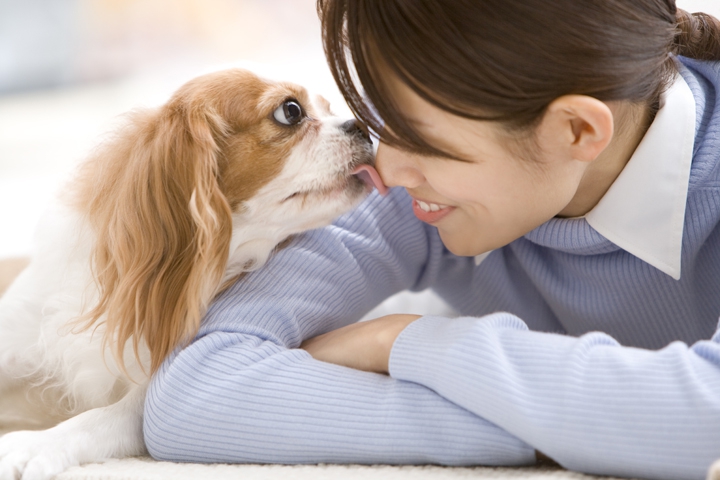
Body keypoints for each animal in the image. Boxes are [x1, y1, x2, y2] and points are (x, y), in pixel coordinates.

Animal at [0, 68, 388, 480]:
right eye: (291, 111)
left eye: (330, 108)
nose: (363, 124)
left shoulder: (155, 389)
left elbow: (104, 417)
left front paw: (35, 443)